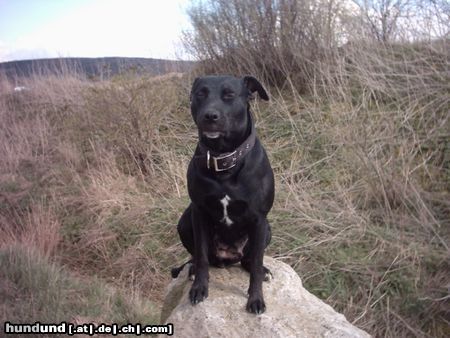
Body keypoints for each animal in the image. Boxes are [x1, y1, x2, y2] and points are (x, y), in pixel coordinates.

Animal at [171, 75, 272, 312]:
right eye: (200, 94)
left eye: (229, 95)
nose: (210, 116)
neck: (224, 158)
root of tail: (227, 258)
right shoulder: (198, 212)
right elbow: (201, 256)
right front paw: (199, 288)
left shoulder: (259, 219)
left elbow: (256, 264)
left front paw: (255, 299)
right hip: (184, 221)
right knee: (199, 257)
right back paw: (191, 269)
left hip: (267, 230)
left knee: (249, 260)